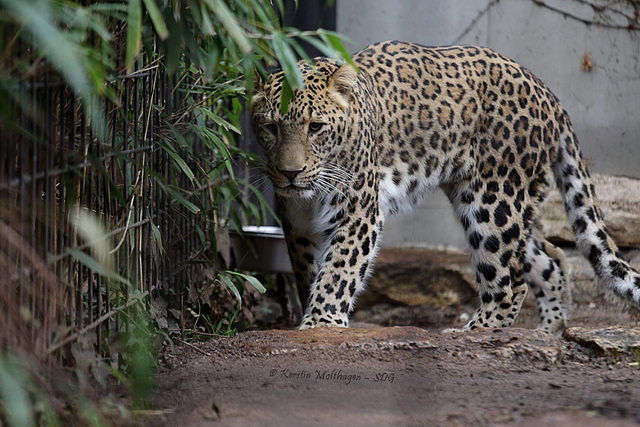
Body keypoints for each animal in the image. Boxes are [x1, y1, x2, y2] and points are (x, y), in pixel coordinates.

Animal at [250, 40, 640, 332]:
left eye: (315, 127)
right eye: (270, 128)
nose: (290, 173)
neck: (310, 196)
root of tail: (548, 93)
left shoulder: (358, 212)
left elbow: (338, 271)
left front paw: (321, 324)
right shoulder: (297, 224)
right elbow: (310, 272)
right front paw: (315, 317)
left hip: (493, 202)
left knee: (510, 282)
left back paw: (474, 332)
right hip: (509, 203)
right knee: (550, 257)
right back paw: (550, 331)